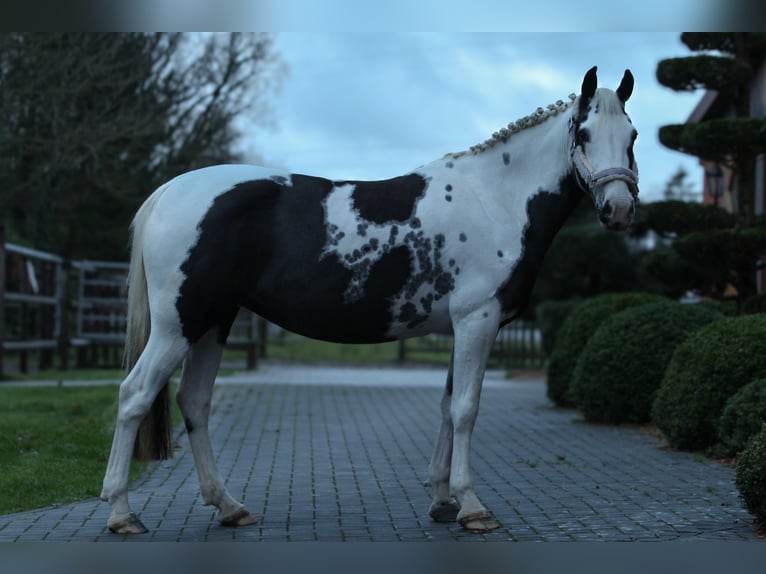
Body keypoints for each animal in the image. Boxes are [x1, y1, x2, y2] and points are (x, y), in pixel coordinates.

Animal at [102, 66, 640, 536]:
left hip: (214, 322)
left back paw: (229, 507)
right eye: (584, 134)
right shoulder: (478, 320)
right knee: (134, 395)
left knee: (194, 401)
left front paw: (442, 501)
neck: (495, 199)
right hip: (179, 325)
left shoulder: (461, 327)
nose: (618, 210)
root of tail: (169, 192)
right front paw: (472, 507)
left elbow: (447, 406)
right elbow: (466, 408)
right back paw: (122, 513)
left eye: (632, 136)